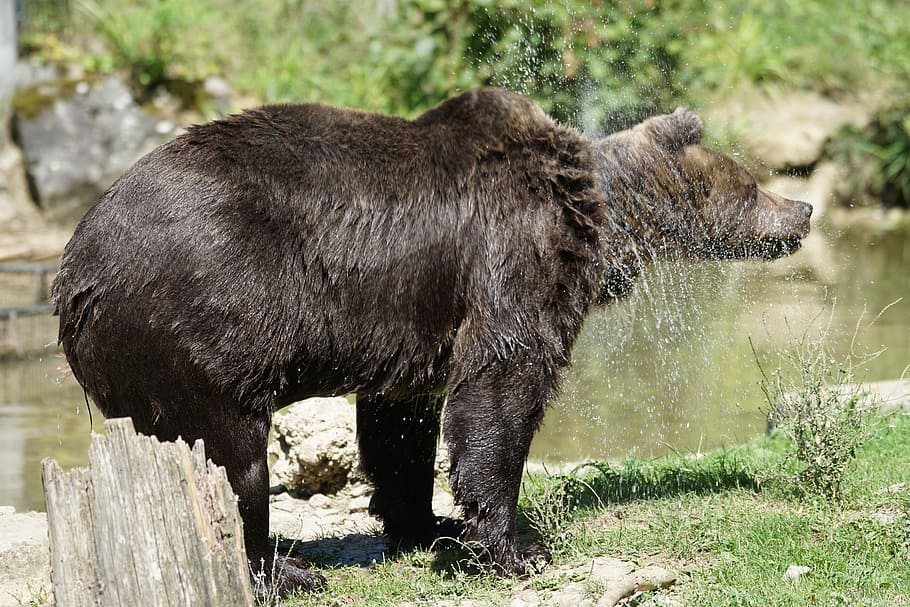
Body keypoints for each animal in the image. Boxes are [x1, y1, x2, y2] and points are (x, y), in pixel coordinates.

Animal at [52, 88, 811, 596]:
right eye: (750, 181)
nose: (803, 206)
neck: (595, 213)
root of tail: (73, 275)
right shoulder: (511, 254)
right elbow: (502, 385)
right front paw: (515, 544)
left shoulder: (410, 319)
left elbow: (401, 422)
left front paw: (425, 521)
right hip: (200, 327)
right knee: (232, 460)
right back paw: (283, 568)